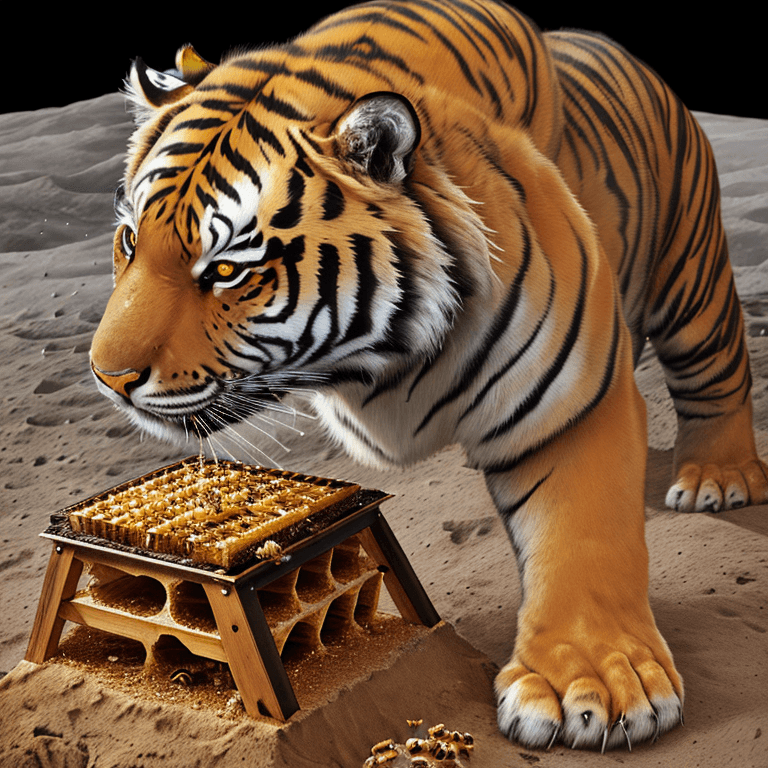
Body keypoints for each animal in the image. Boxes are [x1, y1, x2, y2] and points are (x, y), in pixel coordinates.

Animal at [89, 0, 767, 751]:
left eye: (229, 270)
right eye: (129, 241)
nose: (108, 376)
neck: (372, 361)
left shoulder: (566, 404)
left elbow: (583, 539)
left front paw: (593, 690)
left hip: (692, 275)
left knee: (717, 372)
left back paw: (716, 481)